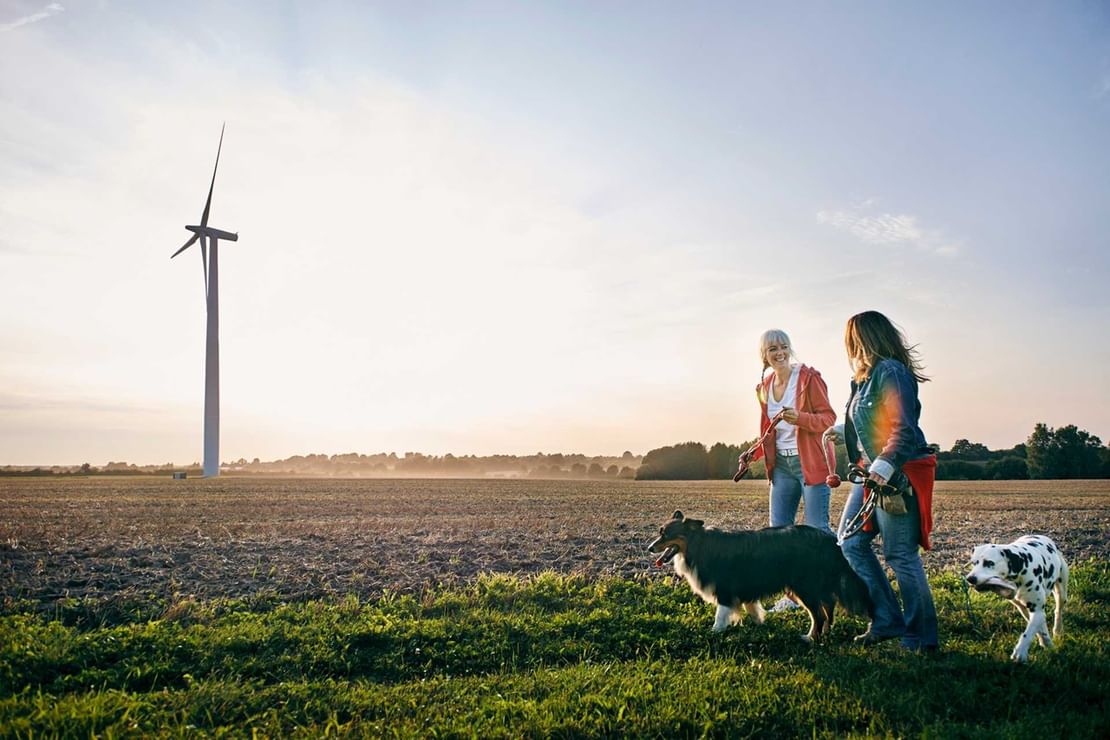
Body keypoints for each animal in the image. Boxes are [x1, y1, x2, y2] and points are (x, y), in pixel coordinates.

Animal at [648, 510, 870, 643]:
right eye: (660, 532)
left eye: (666, 535)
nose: (650, 548)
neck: (698, 544)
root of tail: (830, 540)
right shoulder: (746, 587)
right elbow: (751, 607)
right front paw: (759, 623)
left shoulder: (725, 589)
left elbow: (720, 615)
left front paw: (715, 632)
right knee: (828, 606)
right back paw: (825, 634)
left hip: (804, 587)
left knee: (819, 614)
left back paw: (810, 639)